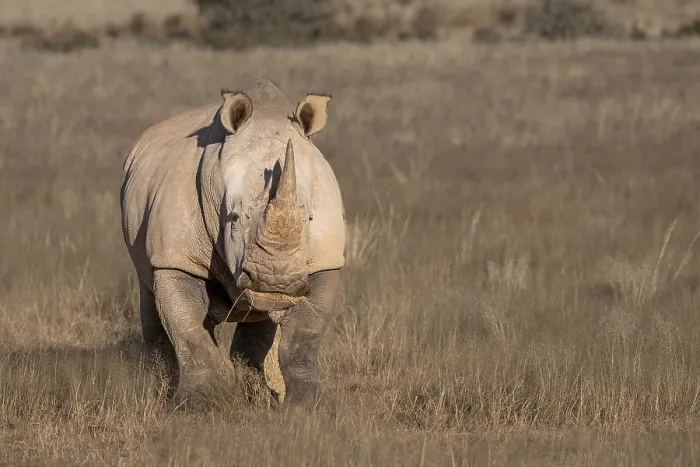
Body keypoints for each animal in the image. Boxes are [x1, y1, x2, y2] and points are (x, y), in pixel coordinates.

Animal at [119, 78, 346, 408]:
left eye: (310, 219)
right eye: (235, 218)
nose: (274, 281)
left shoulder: (325, 261)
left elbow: (304, 338)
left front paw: (307, 406)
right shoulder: (176, 258)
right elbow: (190, 333)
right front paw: (197, 407)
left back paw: (261, 397)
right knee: (151, 299)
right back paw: (161, 390)